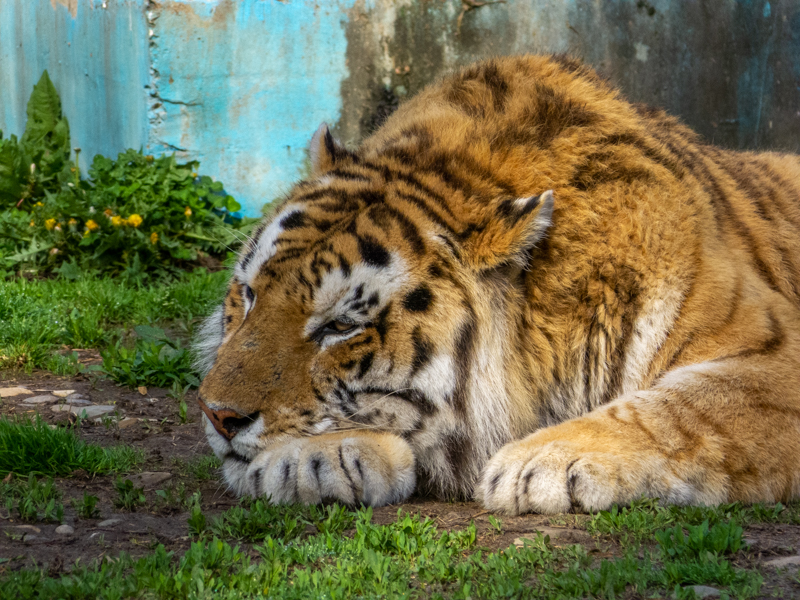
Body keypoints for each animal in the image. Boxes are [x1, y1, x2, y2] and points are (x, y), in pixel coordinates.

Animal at [194, 54, 800, 515]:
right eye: (249, 295)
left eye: (341, 326)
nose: (218, 416)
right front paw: (311, 459)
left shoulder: (772, 349)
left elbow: (681, 409)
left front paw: (543, 461)